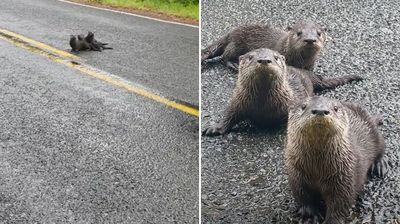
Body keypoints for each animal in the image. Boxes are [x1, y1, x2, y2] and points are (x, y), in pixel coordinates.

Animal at [203, 48, 362, 136]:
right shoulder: (238, 100)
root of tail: (306, 73)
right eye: (250, 57)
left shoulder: (291, 102)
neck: (262, 105)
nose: (264, 60)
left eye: (276, 57)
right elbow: (229, 115)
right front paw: (214, 128)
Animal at [284, 96, 388, 224]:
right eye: (303, 106)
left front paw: (332, 220)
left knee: (381, 147)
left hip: (374, 133)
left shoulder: (345, 178)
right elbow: (303, 196)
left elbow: (340, 203)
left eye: (335, 108)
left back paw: (379, 165)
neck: (318, 169)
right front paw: (310, 215)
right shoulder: (296, 174)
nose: (320, 111)